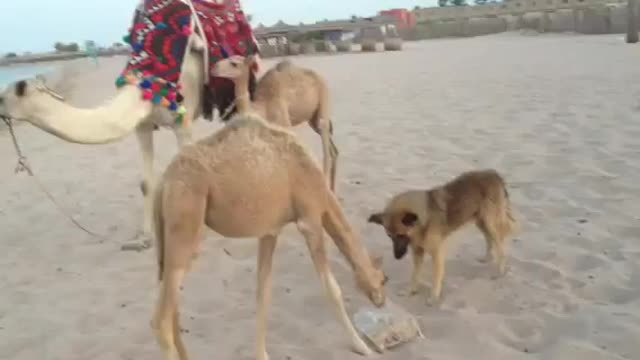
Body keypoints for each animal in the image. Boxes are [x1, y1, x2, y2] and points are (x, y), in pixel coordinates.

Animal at [152, 113, 388, 360]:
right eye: (383, 279)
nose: (381, 300)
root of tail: (163, 183)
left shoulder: (269, 231)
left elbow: (263, 295)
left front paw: (262, 354)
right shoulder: (310, 218)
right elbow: (332, 289)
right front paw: (362, 346)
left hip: (170, 236)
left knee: (172, 304)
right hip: (187, 222)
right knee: (161, 320)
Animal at [211, 54, 340, 191]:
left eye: (234, 64)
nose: (214, 68)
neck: (263, 107)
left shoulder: (285, 123)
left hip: (323, 106)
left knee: (326, 152)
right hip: (313, 119)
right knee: (333, 150)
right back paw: (333, 189)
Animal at [364, 169, 520, 304]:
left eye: (401, 235)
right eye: (389, 236)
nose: (397, 257)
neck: (422, 222)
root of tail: (494, 174)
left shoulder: (436, 253)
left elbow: (436, 277)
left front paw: (433, 297)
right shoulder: (418, 253)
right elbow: (415, 275)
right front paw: (411, 290)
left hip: (490, 222)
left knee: (500, 243)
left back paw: (499, 272)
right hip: (480, 221)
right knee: (489, 239)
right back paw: (487, 258)